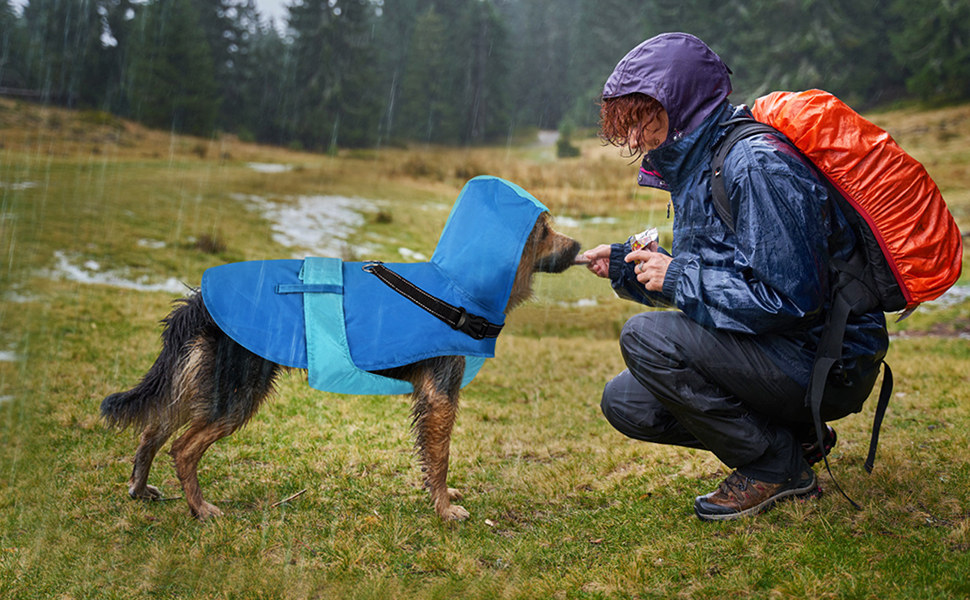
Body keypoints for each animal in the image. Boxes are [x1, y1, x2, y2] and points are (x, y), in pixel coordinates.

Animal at [102, 180, 580, 524]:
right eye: (544, 232)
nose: (577, 247)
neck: (454, 288)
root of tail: (199, 300)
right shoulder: (441, 394)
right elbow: (440, 455)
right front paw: (445, 509)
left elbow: (432, 457)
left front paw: (440, 497)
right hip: (237, 391)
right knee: (182, 448)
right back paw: (201, 509)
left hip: (202, 380)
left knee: (152, 428)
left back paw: (140, 489)